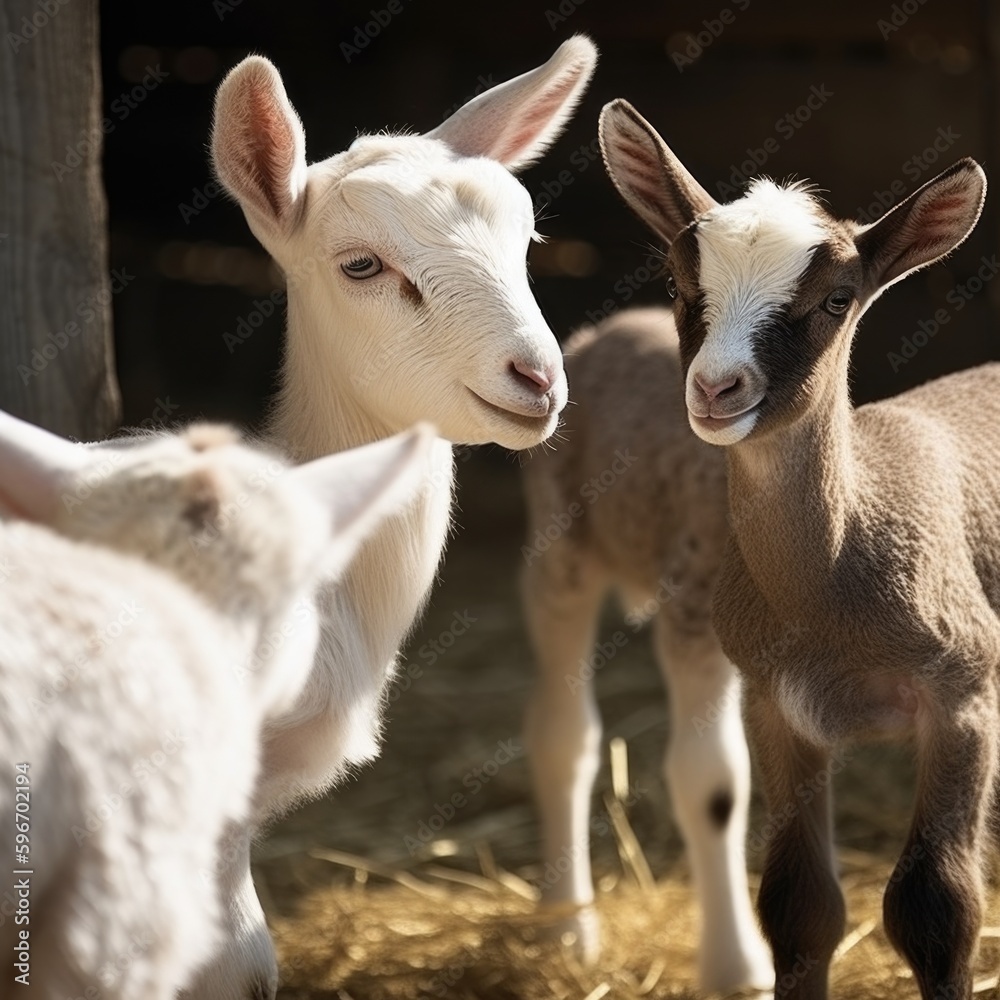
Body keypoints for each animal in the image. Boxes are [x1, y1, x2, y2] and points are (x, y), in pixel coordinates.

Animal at [521, 306, 772, 992]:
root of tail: (615, 325)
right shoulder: (694, 611)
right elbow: (714, 785)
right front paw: (737, 969)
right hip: (560, 544)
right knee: (562, 738)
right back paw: (566, 928)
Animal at [600, 97, 998, 999]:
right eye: (678, 285)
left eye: (837, 298)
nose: (717, 388)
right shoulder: (776, 708)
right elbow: (799, 906)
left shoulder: (962, 696)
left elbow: (936, 908)